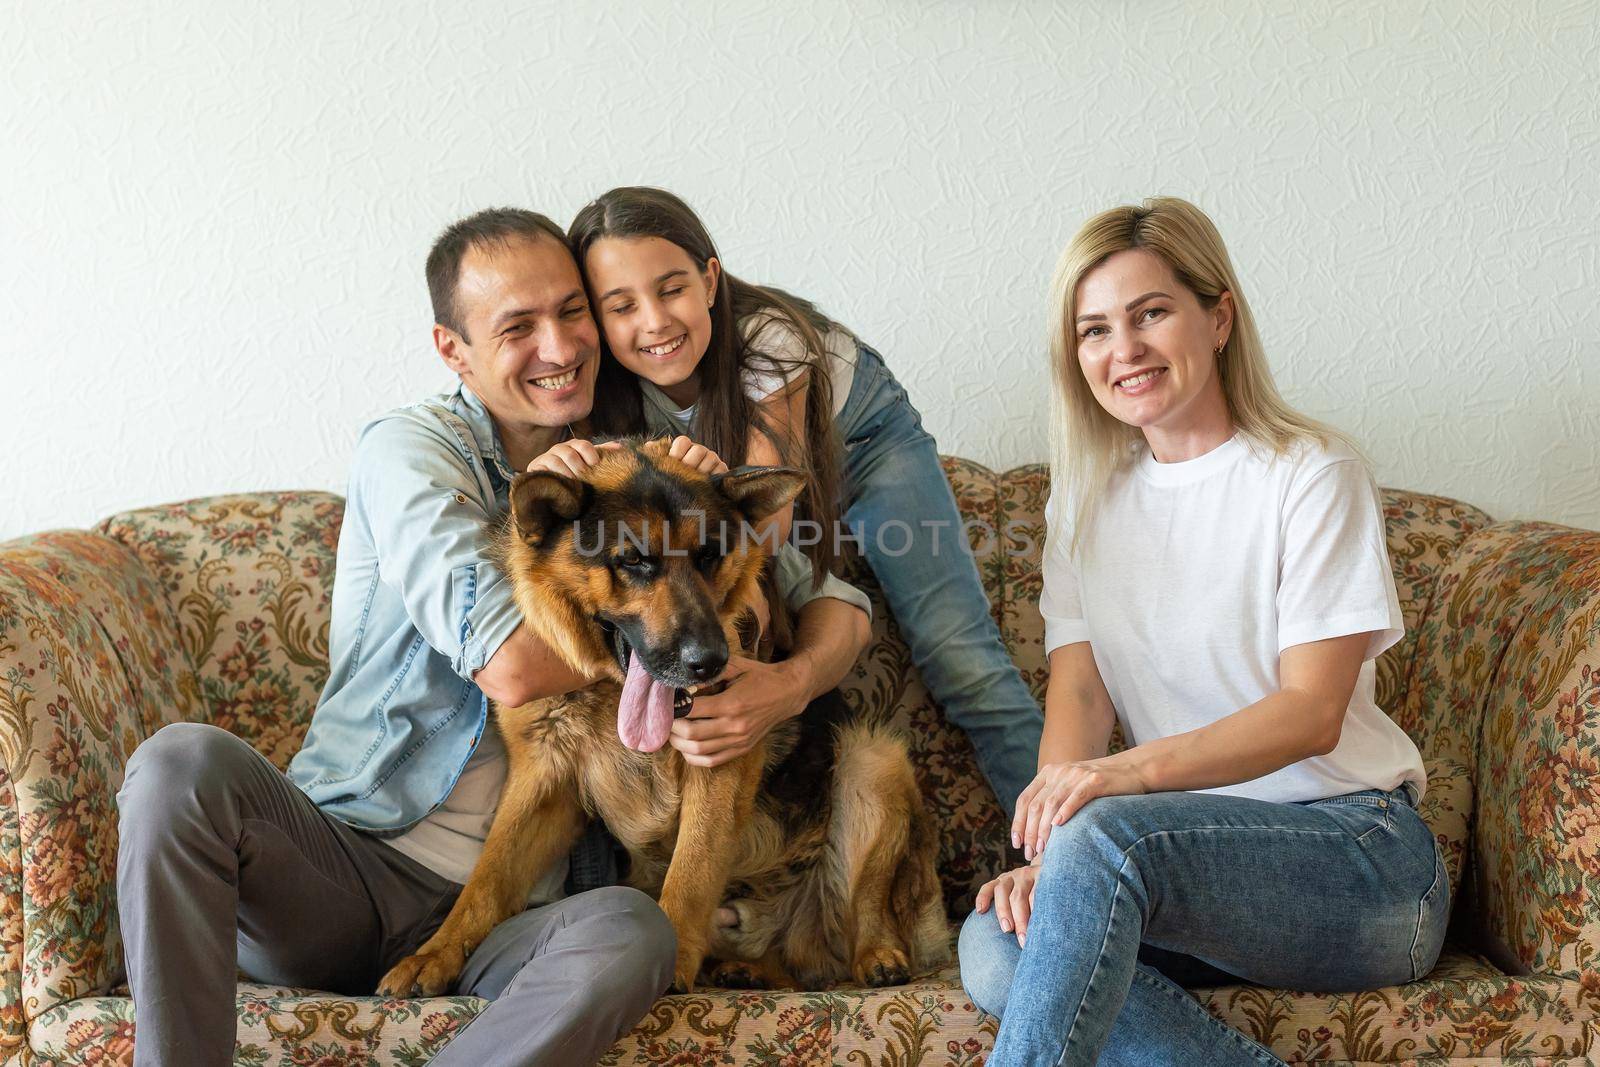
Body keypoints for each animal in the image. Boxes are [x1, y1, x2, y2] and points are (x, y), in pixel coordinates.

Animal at [379, 438, 940, 998]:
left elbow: (691, 870)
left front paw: (670, 962)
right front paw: (434, 954)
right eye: (634, 561)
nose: (710, 663)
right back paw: (746, 970)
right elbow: (487, 879)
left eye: (709, 555)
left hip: (872, 760)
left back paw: (878, 955)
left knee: (861, 916)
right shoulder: (542, 782)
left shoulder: (719, 771)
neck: (608, 691)